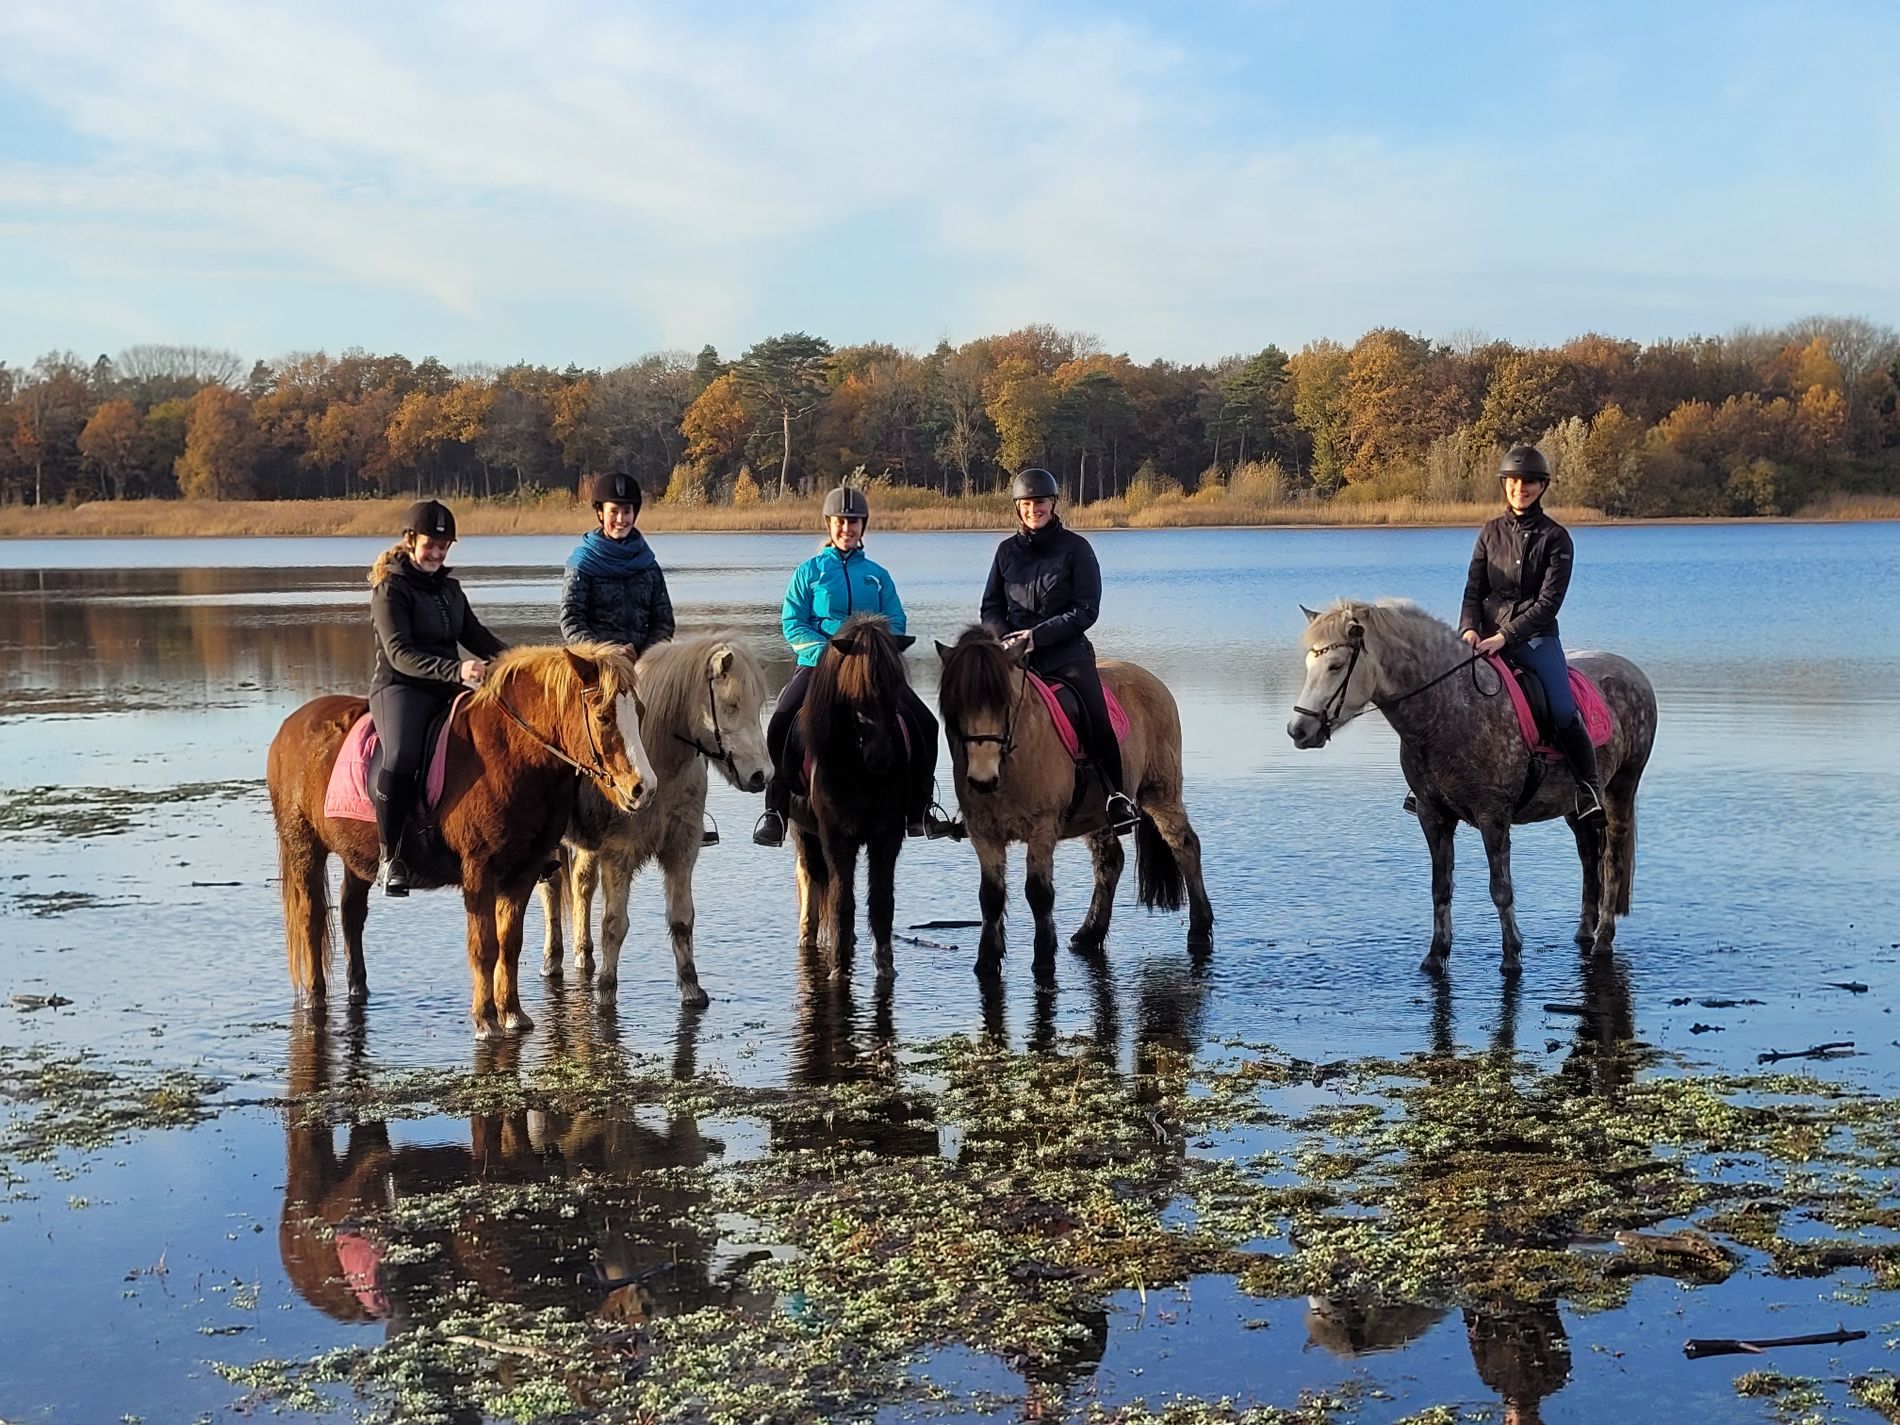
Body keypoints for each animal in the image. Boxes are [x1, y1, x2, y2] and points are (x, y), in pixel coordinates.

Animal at [266, 643, 654, 1037]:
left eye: (639, 711)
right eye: (603, 717)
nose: (643, 788)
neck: (509, 754)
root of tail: (290, 727)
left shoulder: (524, 869)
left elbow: (509, 943)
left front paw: (512, 1013)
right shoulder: (479, 869)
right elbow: (484, 946)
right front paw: (486, 1019)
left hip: (357, 856)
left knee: (351, 913)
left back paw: (358, 988)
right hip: (304, 845)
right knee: (311, 918)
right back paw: (315, 996)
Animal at [538, 634, 771, 1005]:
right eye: (732, 705)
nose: (762, 775)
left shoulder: (681, 850)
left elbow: (682, 919)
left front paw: (691, 987)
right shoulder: (619, 856)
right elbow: (615, 925)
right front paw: (606, 991)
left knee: (582, 885)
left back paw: (583, 956)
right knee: (551, 889)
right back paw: (552, 960)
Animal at [792, 613, 920, 979]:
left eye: (894, 689)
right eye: (855, 694)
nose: (881, 758)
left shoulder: (887, 834)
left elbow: (881, 901)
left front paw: (885, 965)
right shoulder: (836, 837)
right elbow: (840, 901)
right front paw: (838, 966)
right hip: (802, 831)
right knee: (810, 879)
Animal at [935, 626, 1213, 978]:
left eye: (1005, 703)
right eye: (955, 706)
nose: (982, 778)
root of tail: (1150, 678)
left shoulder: (1041, 827)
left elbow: (1038, 893)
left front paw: (1043, 958)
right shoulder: (983, 832)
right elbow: (991, 896)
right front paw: (986, 961)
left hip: (1161, 792)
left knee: (1185, 846)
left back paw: (1200, 928)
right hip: (1099, 812)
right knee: (1110, 861)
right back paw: (1089, 933)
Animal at [1286, 599, 1657, 972]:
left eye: (1336, 665)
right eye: (1309, 664)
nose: (1298, 729)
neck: (1447, 710)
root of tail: (1633, 671)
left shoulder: (1493, 817)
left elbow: (1500, 889)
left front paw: (1511, 956)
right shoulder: (1432, 815)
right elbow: (1440, 887)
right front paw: (1436, 954)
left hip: (1620, 789)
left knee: (1612, 862)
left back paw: (1602, 940)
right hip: (1574, 806)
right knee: (1588, 857)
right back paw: (1584, 931)